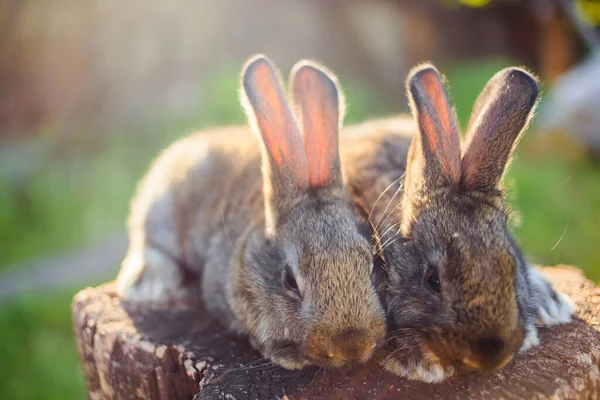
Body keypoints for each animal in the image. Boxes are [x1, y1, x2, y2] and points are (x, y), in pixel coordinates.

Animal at [115, 54, 386, 370]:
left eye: (371, 265)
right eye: (289, 280)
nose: (352, 346)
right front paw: (286, 357)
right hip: (163, 211)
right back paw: (148, 283)